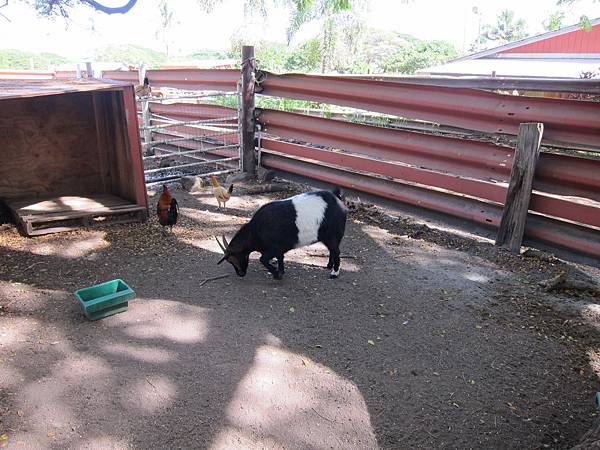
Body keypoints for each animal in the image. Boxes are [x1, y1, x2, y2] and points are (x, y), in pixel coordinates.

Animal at [216, 188, 346, 280]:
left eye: (232, 259)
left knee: (336, 251)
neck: (255, 230)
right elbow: (280, 258)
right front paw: (280, 272)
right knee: (332, 250)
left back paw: (334, 273)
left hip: (332, 235)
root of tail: (338, 200)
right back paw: (329, 266)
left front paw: (276, 274)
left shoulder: (273, 249)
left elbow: (262, 259)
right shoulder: (278, 250)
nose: (240, 274)